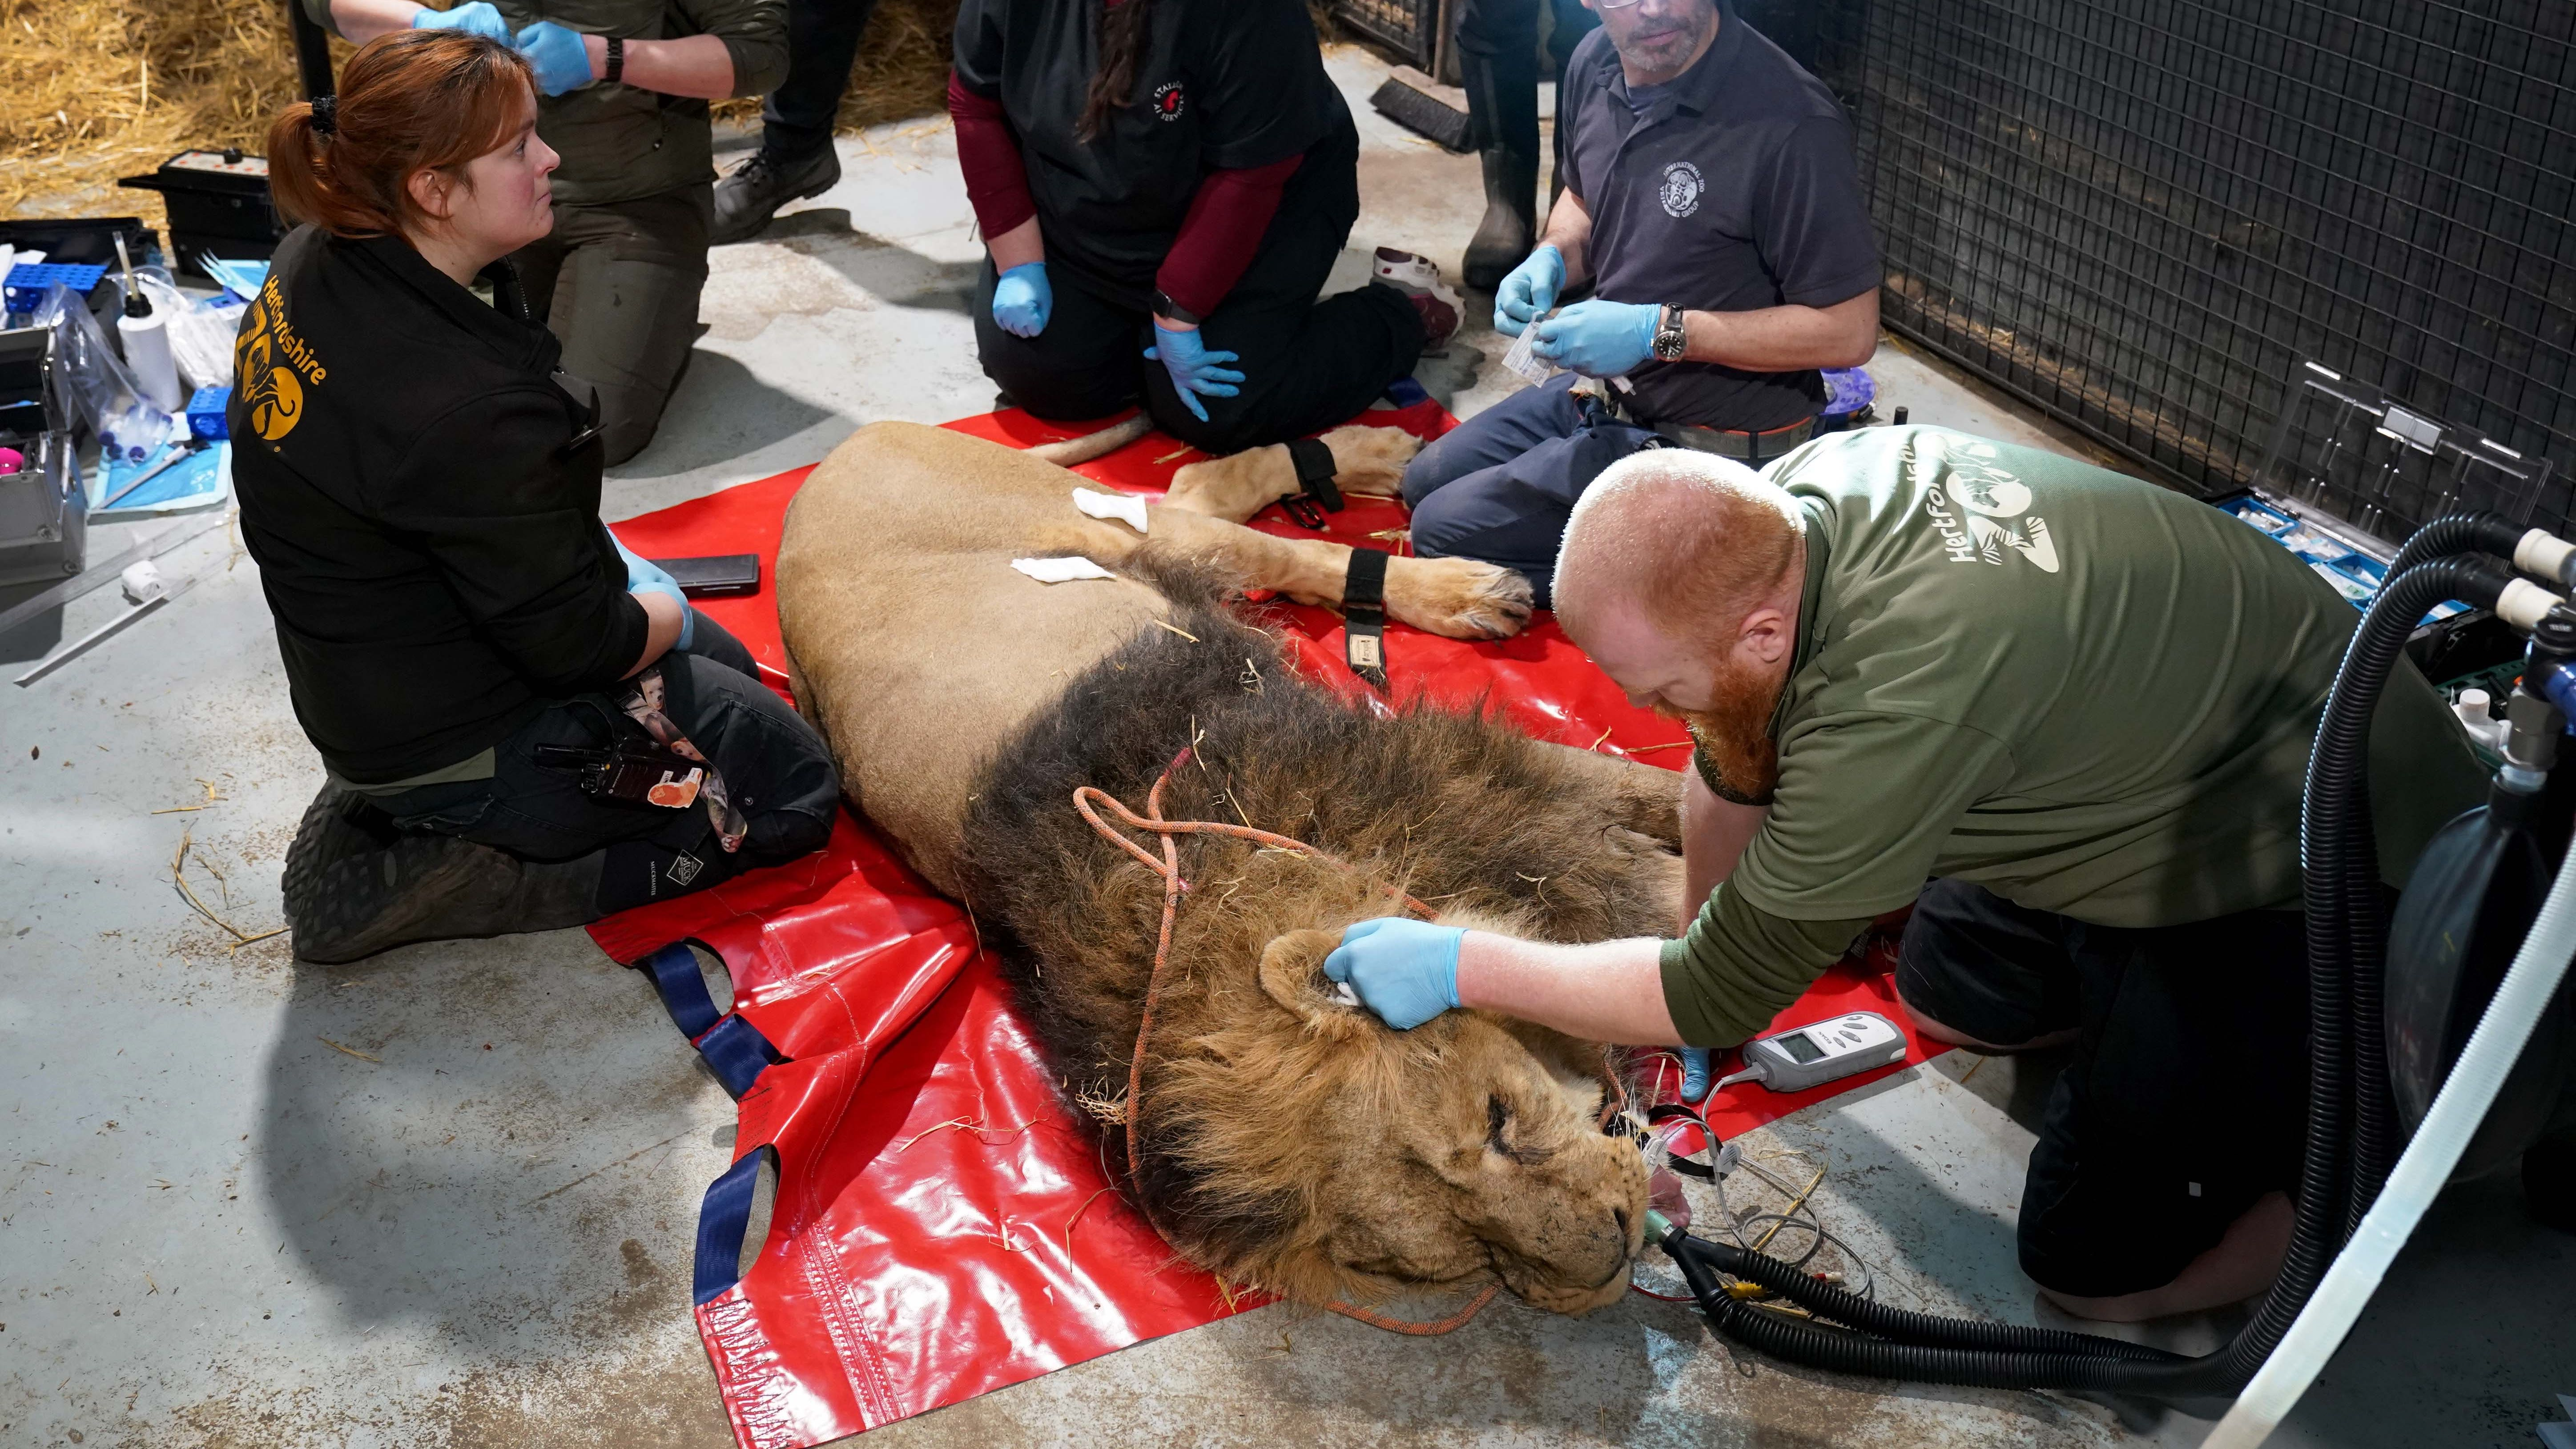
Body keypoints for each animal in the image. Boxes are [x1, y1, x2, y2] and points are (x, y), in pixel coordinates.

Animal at [777, 421, 1679, 1315]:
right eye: (1464, 1252)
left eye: (1500, 1118)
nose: (1613, 1254)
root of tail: (836, 457)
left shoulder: (1475, 776)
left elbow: (1659, 826)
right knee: (1202, 495)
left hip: (1109, 525)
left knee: (1253, 528)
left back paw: (1442, 550)